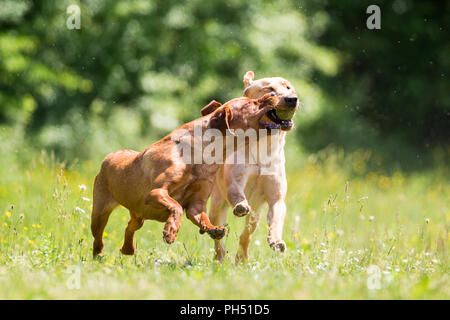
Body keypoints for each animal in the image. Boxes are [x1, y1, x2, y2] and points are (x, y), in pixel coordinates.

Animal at [90, 92, 280, 258]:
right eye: (250, 103)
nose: (274, 94)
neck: (205, 154)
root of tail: (108, 157)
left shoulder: (197, 204)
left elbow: (202, 218)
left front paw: (215, 229)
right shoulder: (156, 192)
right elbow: (176, 206)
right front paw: (170, 232)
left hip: (138, 214)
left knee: (130, 227)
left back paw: (128, 249)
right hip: (99, 213)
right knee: (98, 238)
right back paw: (98, 255)